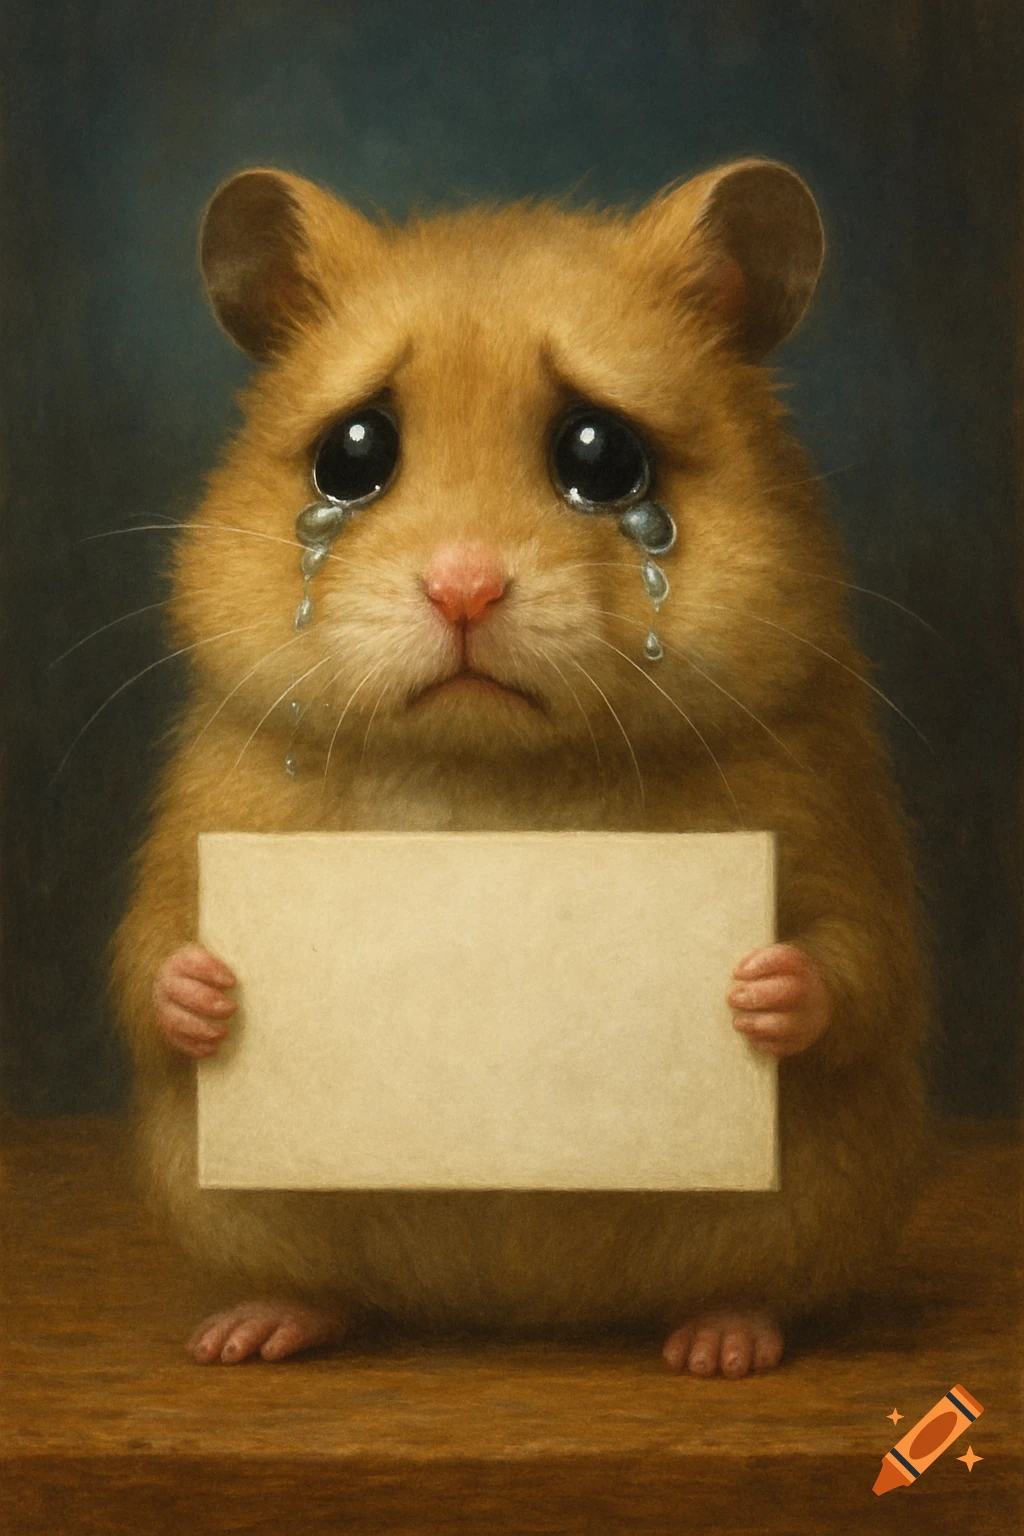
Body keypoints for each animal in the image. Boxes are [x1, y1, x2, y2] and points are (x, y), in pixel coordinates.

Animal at [111, 160, 926, 1376]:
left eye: (602, 455)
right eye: (353, 453)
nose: (464, 587)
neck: (490, 769)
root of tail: (517, 1310)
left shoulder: (837, 824)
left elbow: (853, 963)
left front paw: (758, 988)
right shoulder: (195, 828)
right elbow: (149, 957)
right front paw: (208, 990)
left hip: (816, 1205)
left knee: (760, 1285)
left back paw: (719, 1345)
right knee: (320, 1285)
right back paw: (250, 1332)